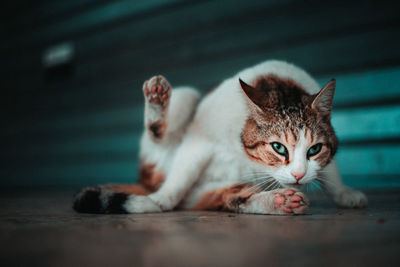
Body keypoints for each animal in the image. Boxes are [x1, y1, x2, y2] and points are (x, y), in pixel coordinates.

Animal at [73, 60, 368, 216]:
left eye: (314, 149)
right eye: (278, 148)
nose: (298, 176)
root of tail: (146, 180)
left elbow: (331, 171)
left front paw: (345, 193)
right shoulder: (198, 141)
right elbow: (178, 180)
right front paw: (159, 202)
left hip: (212, 190)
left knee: (231, 198)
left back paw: (279, 201)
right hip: (187, 99)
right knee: (163, 144)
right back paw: (157, 101)